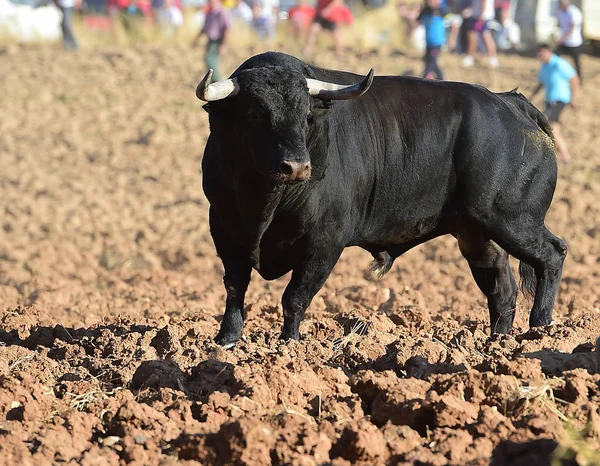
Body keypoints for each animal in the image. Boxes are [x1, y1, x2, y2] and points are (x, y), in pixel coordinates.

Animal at [198, 52, 568, 348]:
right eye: (254, 113)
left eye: (306, 116)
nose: (297, 166)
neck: (264, 202)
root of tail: (510, 103)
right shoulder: (225, 231)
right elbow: (235, 288)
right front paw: (226, 340)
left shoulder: (324, 243)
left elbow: (295, 297)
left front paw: (288, 344)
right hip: (475, 233)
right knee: (502, 287)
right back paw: (498, 341)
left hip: (511, 219)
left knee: (552, 254)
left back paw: (540, 329)